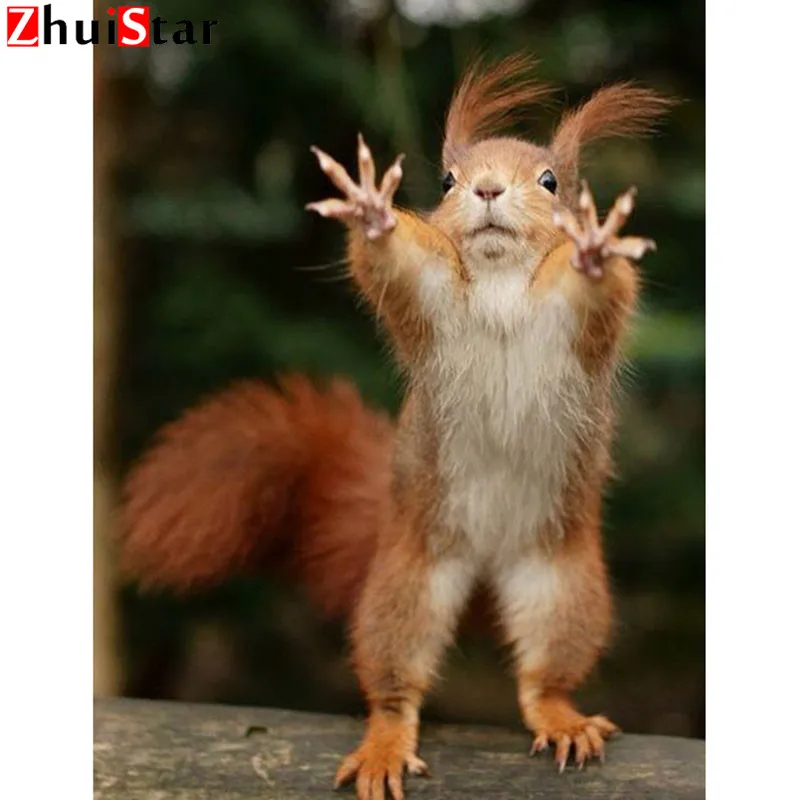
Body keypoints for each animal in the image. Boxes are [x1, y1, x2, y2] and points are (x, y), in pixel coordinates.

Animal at [119, 53, 672, 800]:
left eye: (551, 181)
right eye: (447, 180)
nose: (488, 189)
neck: (500, 279)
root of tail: (487, 561)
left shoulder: (577, 325)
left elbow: (599, 290)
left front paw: (593, 248)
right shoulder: (433, 299)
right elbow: (398, 265)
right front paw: (373, 214)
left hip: (563, 584)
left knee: (543, 676)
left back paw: (560, 716)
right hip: (407, 582)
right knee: (393, 680)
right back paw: (385, 739)